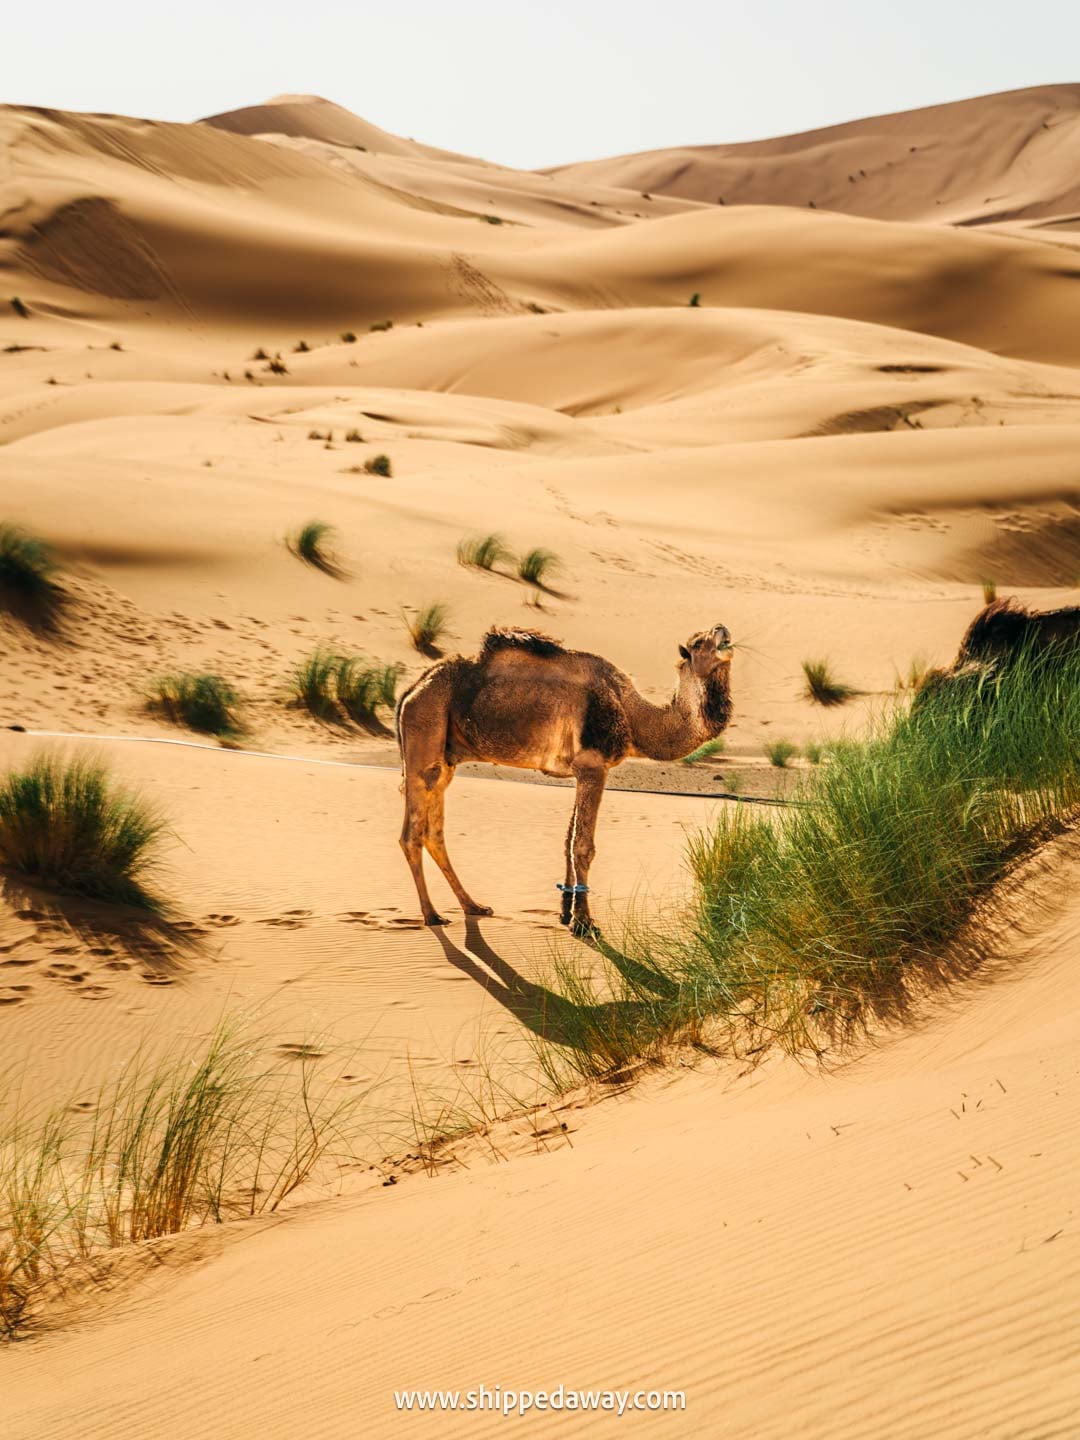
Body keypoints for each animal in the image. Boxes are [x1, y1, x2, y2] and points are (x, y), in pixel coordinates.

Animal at [396, 624, 734, 934]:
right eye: (698, 642)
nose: (722, 629)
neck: (633, 716)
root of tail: (411, 691)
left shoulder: (579, 770)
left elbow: (568, 840)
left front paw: (565, 912)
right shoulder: (593, 766)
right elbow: (583, 846)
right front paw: (584, 922)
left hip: (445, 757)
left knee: (434, 831)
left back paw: (473, 906)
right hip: (425, 728)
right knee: (412, 833)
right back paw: (432, 915)